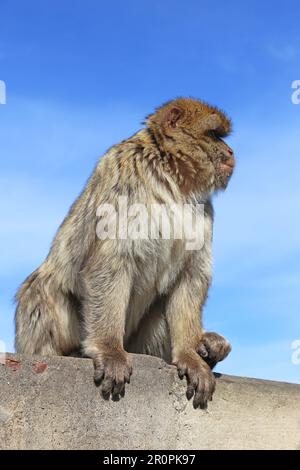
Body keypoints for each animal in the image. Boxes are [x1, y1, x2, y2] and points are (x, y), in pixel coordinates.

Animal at [14, 98, 234, 408]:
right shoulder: (127, 180)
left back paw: (211, 348)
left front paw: (191, 356)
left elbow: (190, 276)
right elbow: (110, 264)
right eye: (215, 135)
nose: (231, 152)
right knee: (39, 287)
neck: (173, 178)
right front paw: (109, 350)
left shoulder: (204, 212)